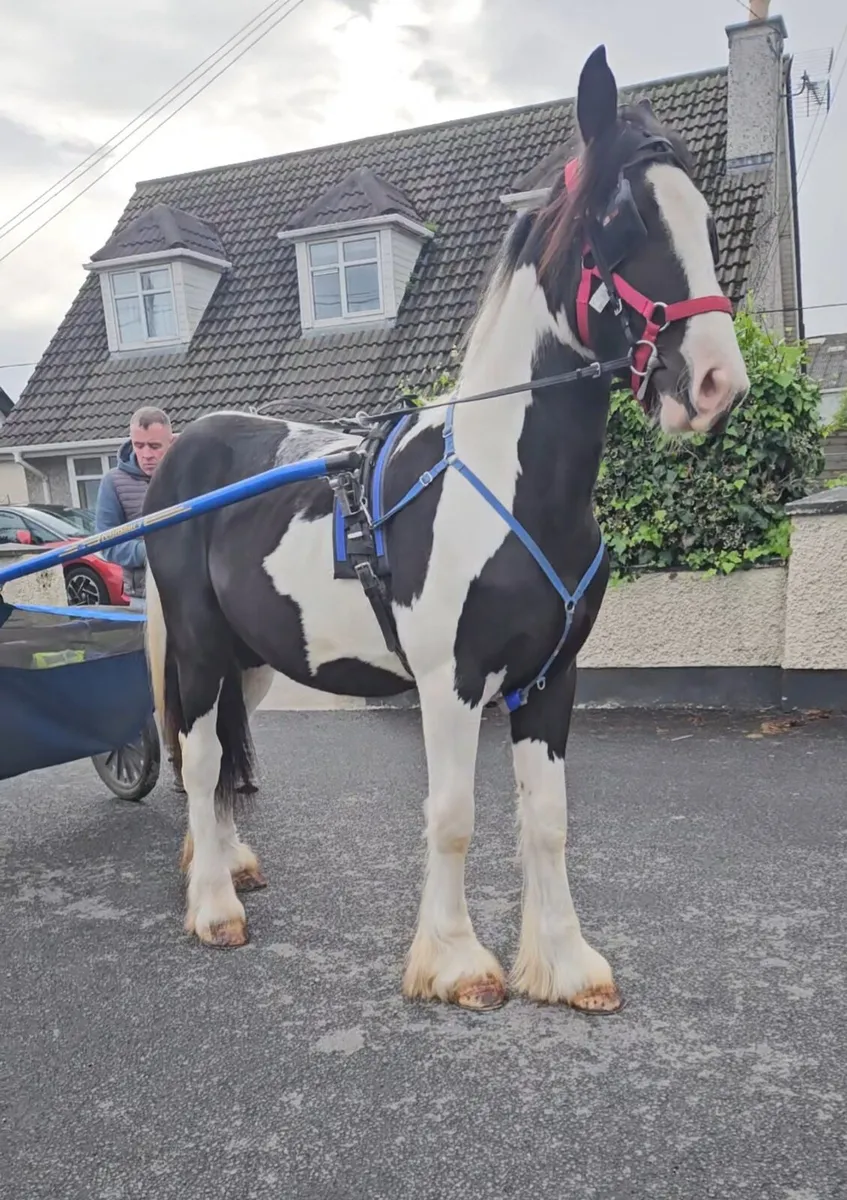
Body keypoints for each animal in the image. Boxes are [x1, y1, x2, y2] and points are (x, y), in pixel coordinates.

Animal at [143, 44, 750, 1015]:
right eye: (620, 217)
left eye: (703, 219)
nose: (715, 385)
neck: (506, 486)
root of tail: (184, 454)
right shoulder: (452, 682)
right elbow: (455, 818)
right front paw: (458, 963)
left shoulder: (549, 678)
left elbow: (547, 820)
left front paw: (564, 964)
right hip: (198, 649)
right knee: (198, 759)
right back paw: (211, 909)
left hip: (252, 660)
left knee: (226, 757)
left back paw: (227, 865)